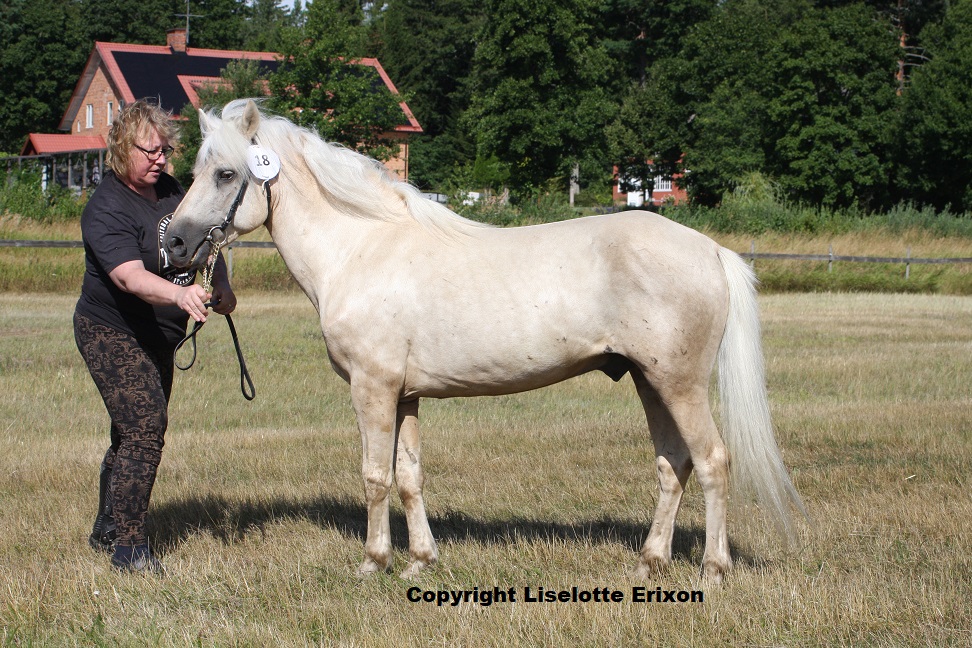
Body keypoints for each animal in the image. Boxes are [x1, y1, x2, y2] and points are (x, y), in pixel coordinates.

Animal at [165, 101, 804, 584]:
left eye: (225, 174)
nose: (173, 243)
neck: (361, 248)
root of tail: (711, 250)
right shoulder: (406, 395)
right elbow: (409, 476)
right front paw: (420, 561)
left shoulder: (373, 389)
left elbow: (374, 477)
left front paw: (374, 562)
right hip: (651, 382)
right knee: (674, 465)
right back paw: (649, 563)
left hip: (680, 383)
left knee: (713, 461)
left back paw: (713, 570)